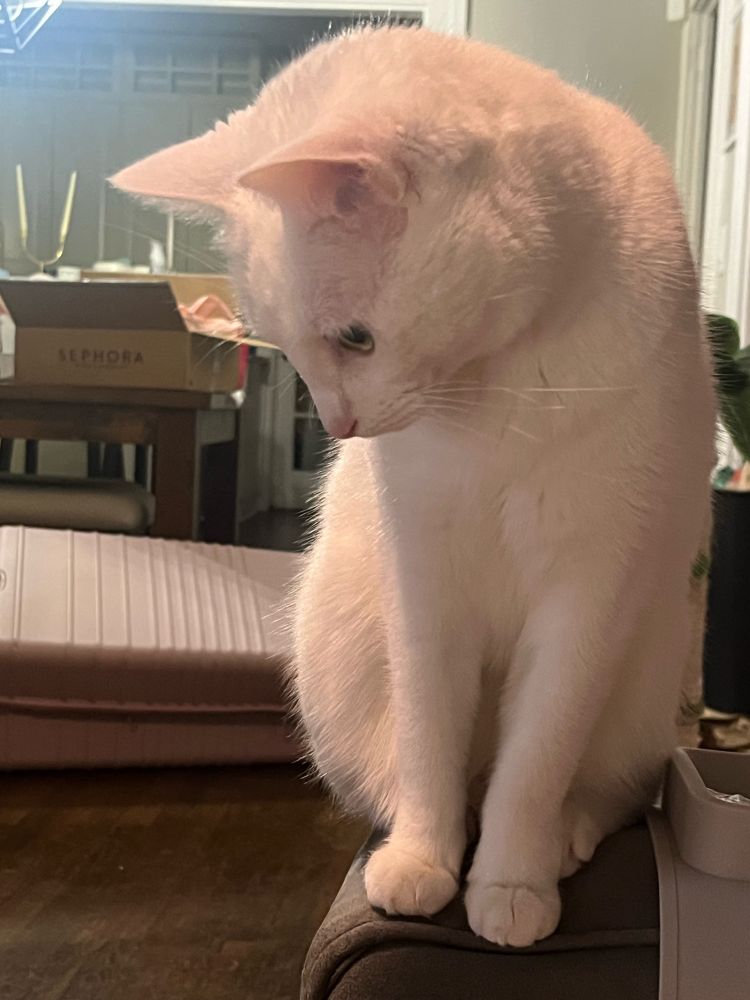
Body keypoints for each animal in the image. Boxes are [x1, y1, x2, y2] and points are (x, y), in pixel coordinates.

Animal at [112, 25, 716, 947]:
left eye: (354, 339)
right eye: (288, 345)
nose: (338, 426)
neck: (494, 385)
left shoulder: (588, 594)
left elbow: (534, 764)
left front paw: (510, 881)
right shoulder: (426, 582)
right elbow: (429, 741)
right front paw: (428, 860)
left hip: (644, 675)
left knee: (588, 791)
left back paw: (563, 838)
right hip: (338, 659)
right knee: (409, 774)